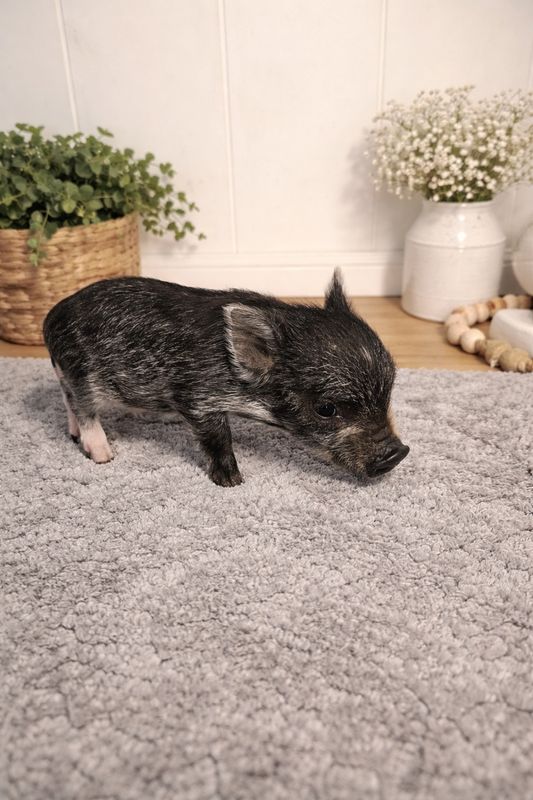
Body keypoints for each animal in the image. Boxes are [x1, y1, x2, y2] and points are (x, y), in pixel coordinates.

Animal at [43, 270, 409, 486]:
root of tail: (51, 317)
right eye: (327, 409)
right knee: (83, 406)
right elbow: (218, 438)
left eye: (388, 392)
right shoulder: (199, 398)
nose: (398, 453)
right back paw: (104, 454)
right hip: (81, 370)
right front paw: (233, 481)